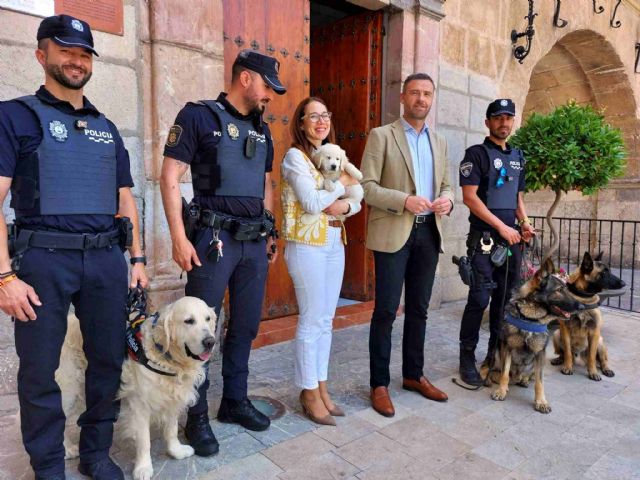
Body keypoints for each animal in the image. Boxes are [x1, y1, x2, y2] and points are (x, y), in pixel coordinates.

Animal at [55, 296, 215, 480]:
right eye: (189, 321)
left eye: (208, 319)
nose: (210, 342)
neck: (166, 358)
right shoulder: (140, 405)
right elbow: (144, 440)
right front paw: (143, 468)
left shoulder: (172, 397)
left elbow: (172, 429)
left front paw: (176, 451)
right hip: (68, 390)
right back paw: (68, 449)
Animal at [490, 258, 584, 412]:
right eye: (559, 290)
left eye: (566, 289)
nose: (581, 307)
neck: (530, 317)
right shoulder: (507, 348)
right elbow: (505, 373)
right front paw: (501, 391)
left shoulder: (540, 354)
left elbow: (539, 382)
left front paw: (541, 402)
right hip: (498, 354)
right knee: (504, 374)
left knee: (530, 376)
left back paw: (524, 380)